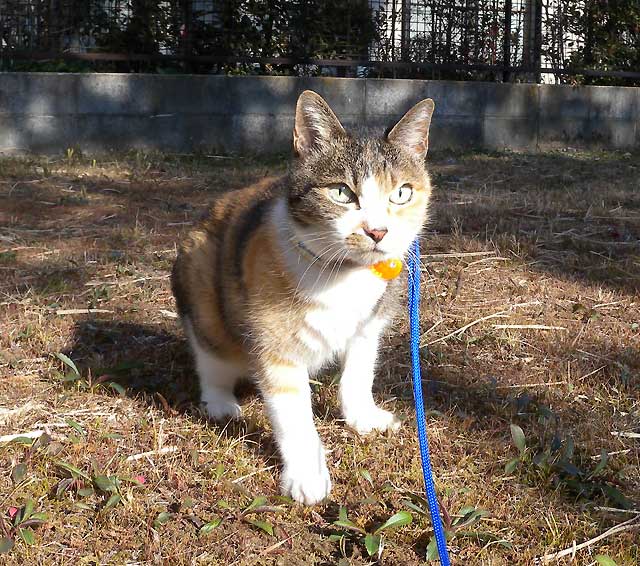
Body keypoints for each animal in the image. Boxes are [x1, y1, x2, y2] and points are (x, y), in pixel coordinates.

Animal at [171, 90, 434, 505]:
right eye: (342, 192)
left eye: (402, 193)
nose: (377, 231)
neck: (343, 273)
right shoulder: (275, 348)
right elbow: (293, 415)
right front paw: (307, 475)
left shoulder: (369, 325)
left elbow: (359, 373)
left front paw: (362, 416)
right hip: (200, 282)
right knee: (211, 356)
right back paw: (221, 403)